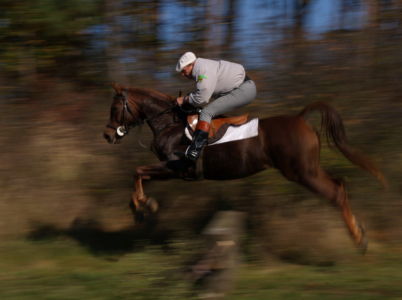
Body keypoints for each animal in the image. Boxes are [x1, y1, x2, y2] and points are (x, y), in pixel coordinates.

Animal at [103, 83, 386, 252]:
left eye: (115, 107)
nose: (107, 135)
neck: (170, 124)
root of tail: (300, 118)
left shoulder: (177, 168)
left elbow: (138, 171)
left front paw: (141, 208)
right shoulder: (170, 170)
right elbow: (140, 174)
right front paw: (142, 207)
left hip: (301, 173)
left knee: (335, 193)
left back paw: (359, 239)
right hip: (310, 169)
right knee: (340, 185)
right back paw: (359, 231)